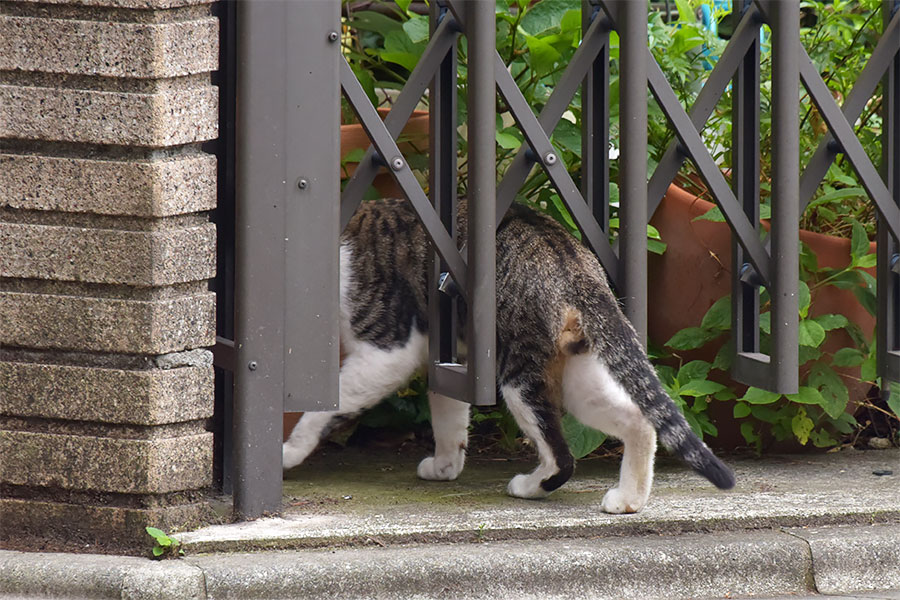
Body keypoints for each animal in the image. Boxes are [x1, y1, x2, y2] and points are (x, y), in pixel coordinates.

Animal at [284, 199, 736, 512]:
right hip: (579, 376)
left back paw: (530, 486)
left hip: (520, 375)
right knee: (639, 421)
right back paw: (628, 499)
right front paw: (445, 466)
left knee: (563, 457)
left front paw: (289, 451)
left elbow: (326, 406)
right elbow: (448, 414)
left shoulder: (388, 347)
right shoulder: (442, 355)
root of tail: (573, 260)